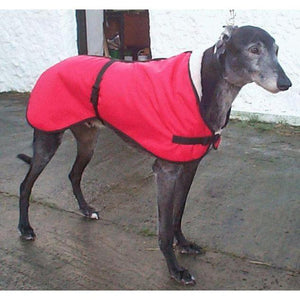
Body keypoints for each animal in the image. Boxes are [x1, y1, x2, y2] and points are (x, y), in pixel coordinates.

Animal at [18, 25, 290, 284]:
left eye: (277, 50)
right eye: (254, 49)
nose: (286, 84)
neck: (203, 87)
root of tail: (52, 67)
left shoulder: (189, 166)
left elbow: (178, 213)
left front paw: (184, 244)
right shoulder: (165, 172)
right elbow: (165, 227)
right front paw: (175, 269)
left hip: (87, 141)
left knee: (74, 174)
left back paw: (86, 210)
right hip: (48, 139)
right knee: (25, 185)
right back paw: (25, 228)